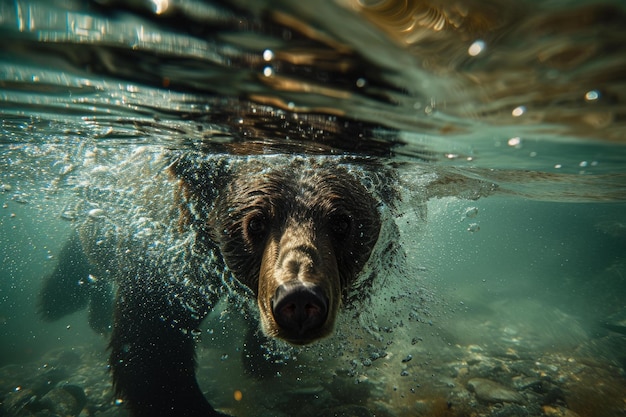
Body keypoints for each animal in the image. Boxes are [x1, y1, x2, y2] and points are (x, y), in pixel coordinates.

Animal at [36, 150, 390, 416]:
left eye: (342, 222)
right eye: (255, 222)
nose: (301, 297)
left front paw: (259, 359)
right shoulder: (173, 258)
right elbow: (150, 341)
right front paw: (194, 404)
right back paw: (55, 300)